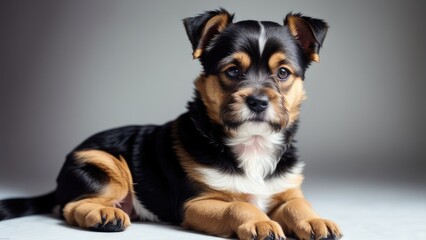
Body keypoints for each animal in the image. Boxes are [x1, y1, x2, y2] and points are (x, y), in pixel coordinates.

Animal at [0, 8, 342, 240]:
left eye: (283, 73)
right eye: (232, 71)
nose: (258, 102)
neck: (252, 143)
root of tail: (58, 181)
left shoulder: (285, 191)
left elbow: (298, 204)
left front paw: (315, 220)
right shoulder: (194, 204)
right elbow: (239, 206)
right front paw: (259, 221)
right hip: (104, 164)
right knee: (70, 207)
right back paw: (103, 214)